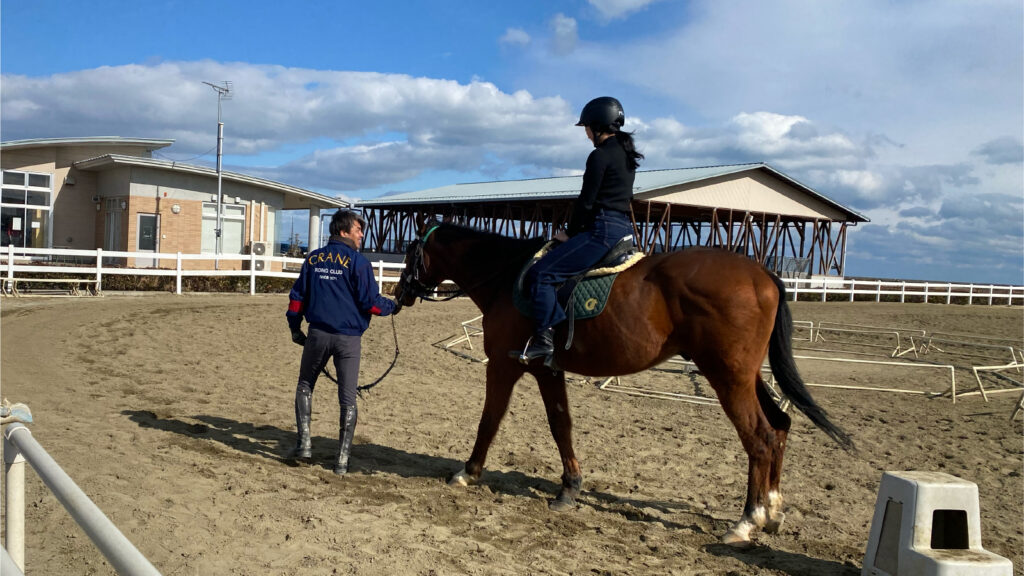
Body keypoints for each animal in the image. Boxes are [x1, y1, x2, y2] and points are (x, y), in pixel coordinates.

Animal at [395, 218, 851, 541]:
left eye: (410, 251)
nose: (399, 295)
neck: (507, 277)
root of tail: (762, 274)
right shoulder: (547, 367)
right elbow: (561, 424)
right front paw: (570, 488)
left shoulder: (503, 365)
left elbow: (489, 419)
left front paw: (468, 472)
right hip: (747, 376)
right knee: (780, 426)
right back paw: (772, 511)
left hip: (728, 378)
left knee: (759, 437)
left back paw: (746, 521)